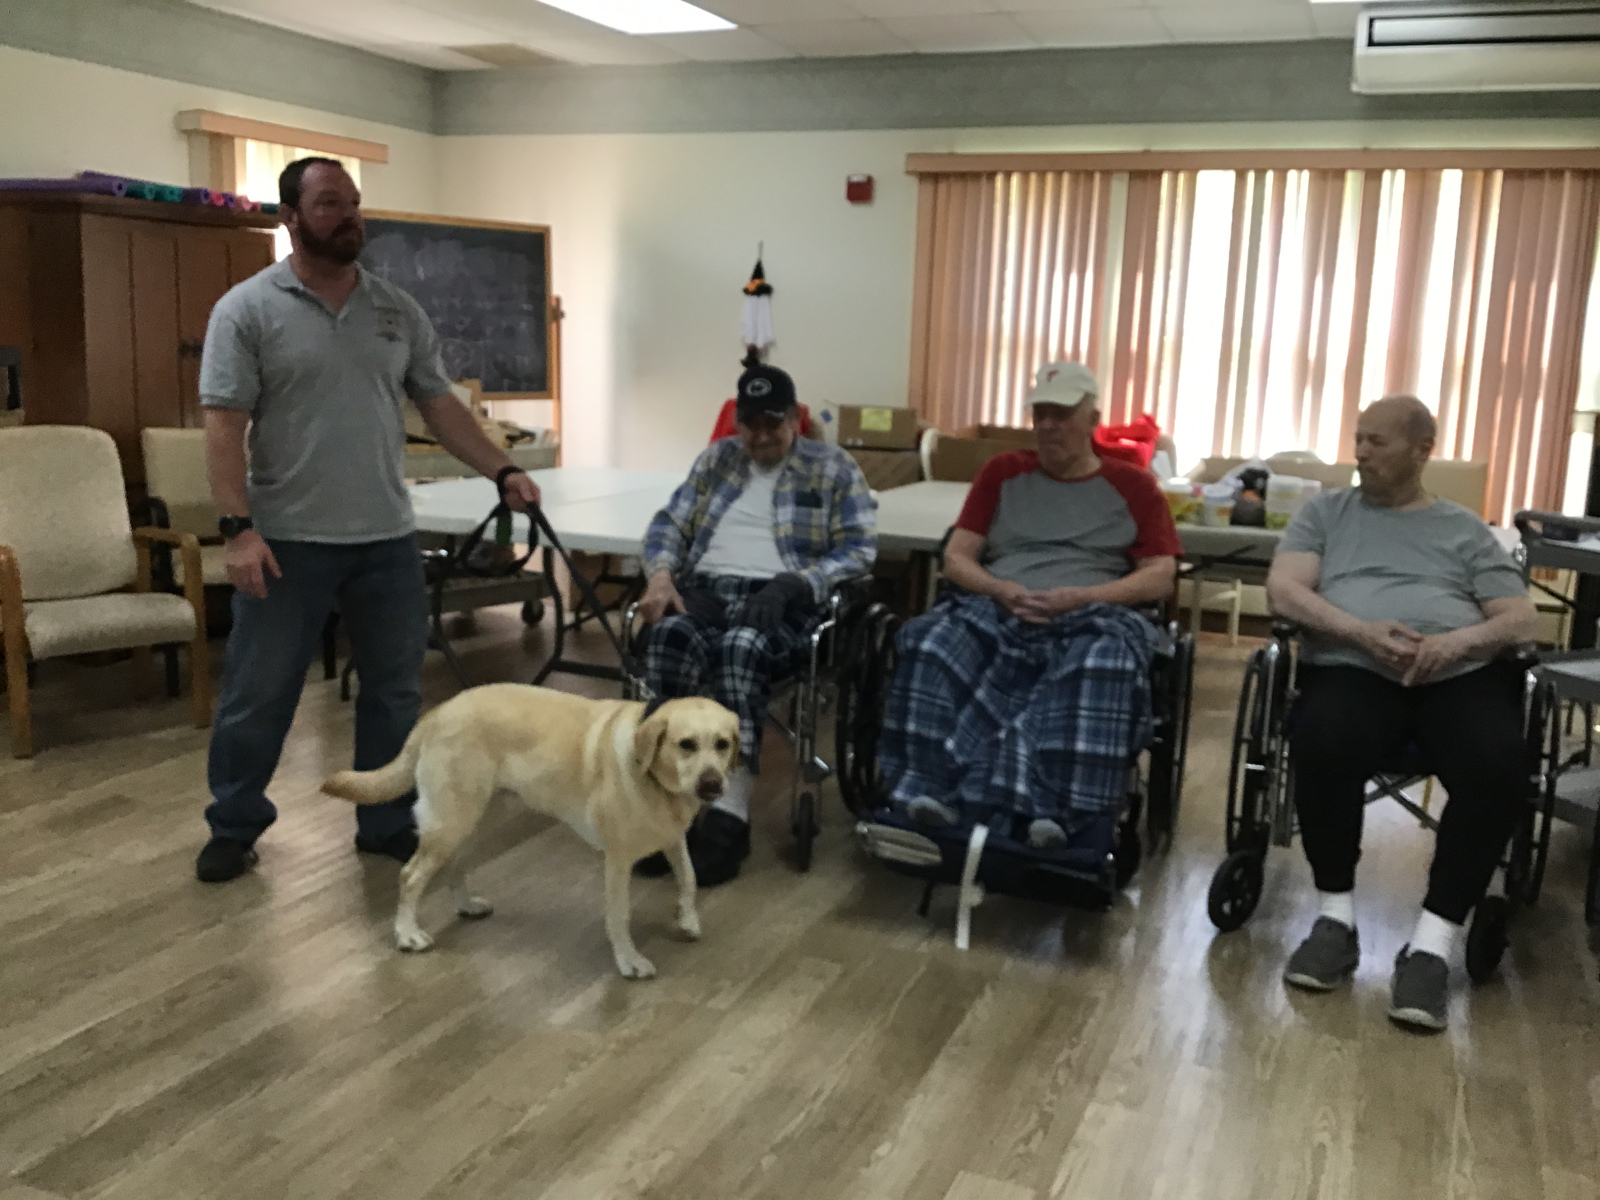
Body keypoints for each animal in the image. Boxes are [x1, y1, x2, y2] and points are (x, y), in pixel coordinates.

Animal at [321, 684, 740, 979]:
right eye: (686, 745)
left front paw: (687, 919)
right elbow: (619, 915)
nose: (712, 784)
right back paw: (407, 933)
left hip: (471, 821)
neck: (656, 781)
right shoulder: (618, 859)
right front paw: (629, 960)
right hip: (451, 821)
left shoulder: (673, 838)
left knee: (454, 869)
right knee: (410, 875)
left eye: (722, 744)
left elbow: (688, 877)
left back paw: (465, 905)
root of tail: (439, 711)